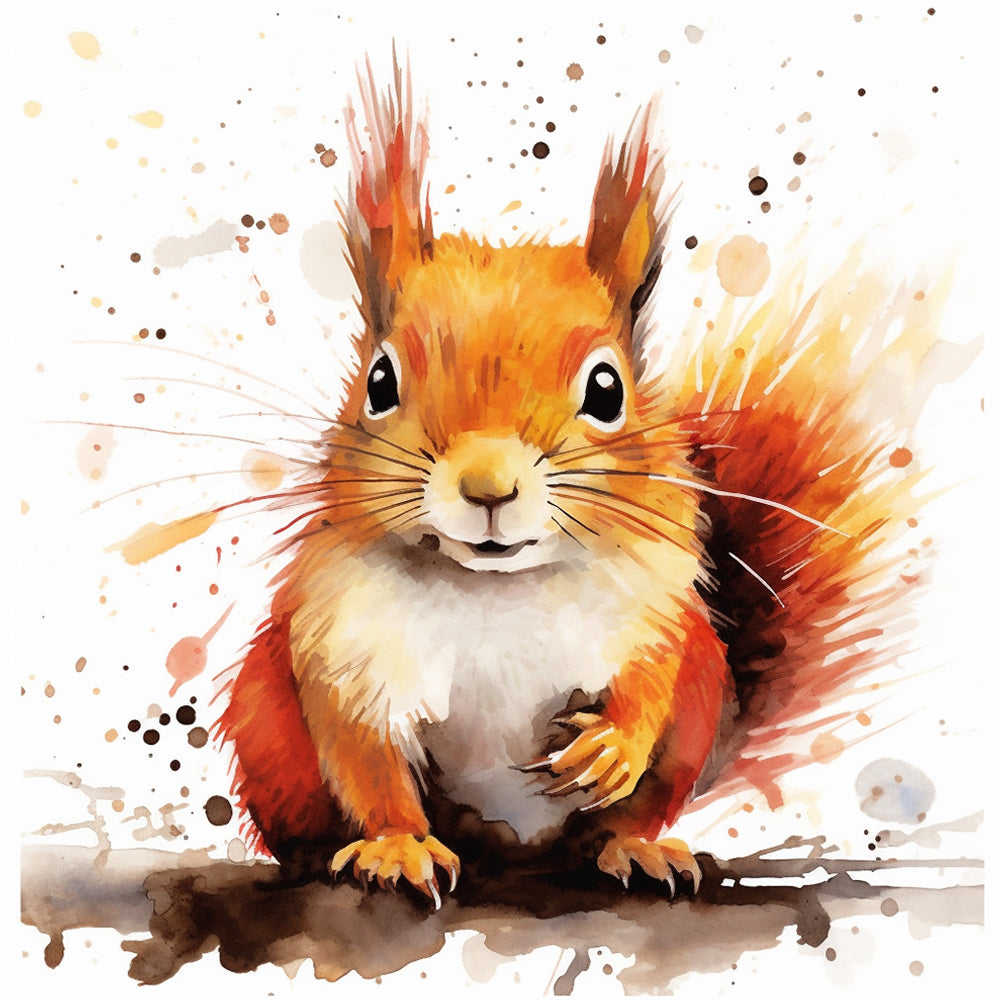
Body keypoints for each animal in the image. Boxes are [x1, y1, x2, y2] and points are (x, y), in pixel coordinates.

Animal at [215, 56, 932, 905]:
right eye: (379, 382)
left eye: (607, 389)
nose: (488, 485)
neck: (495, 593)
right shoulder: (346, 647)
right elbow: (366, 759)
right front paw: (397, 846)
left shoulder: (656, 612)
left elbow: (648, 683)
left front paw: (611, 748)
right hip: (265, 718)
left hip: (701, 693)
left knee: (625, 815)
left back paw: (636, 848)